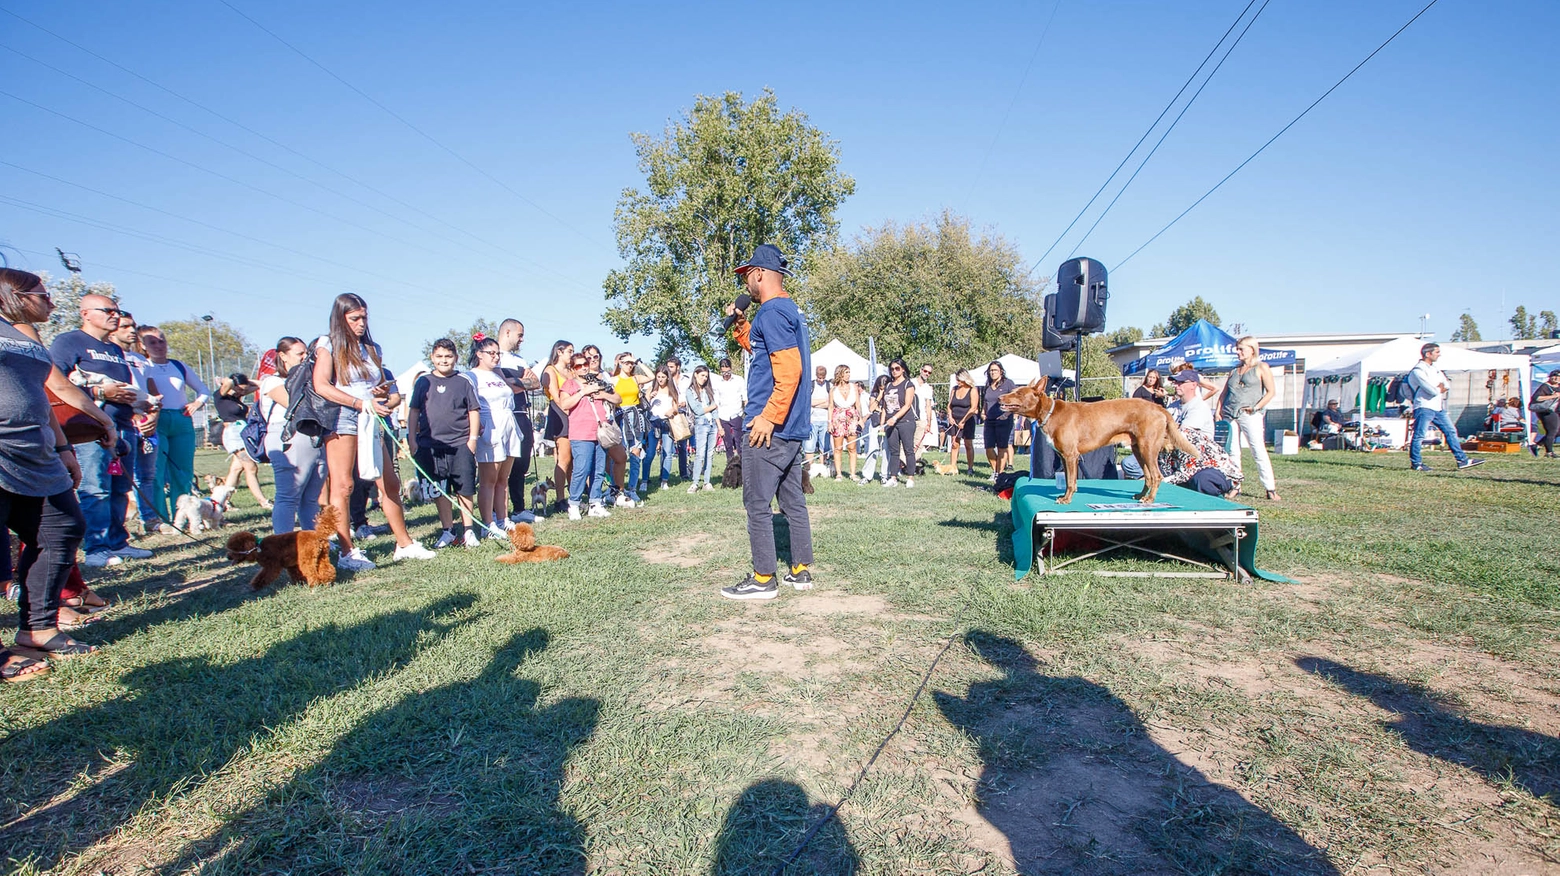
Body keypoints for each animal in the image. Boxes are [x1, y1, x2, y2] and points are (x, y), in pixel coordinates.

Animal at [998, 375, 1191, 505]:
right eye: (1013, 391)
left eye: (1019, 393)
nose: (1000, 397)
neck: (1051, 413)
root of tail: (1158, 407)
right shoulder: (1064, 457)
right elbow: (1069, 480)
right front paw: (1065, 496)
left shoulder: (1071, 455)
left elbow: (1071, 482)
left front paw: (1066, 499)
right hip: (1139, 449)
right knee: (1149, 476)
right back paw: (1140, 496)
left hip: (1148, 448)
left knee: (1157, 476)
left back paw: (1149, 499)